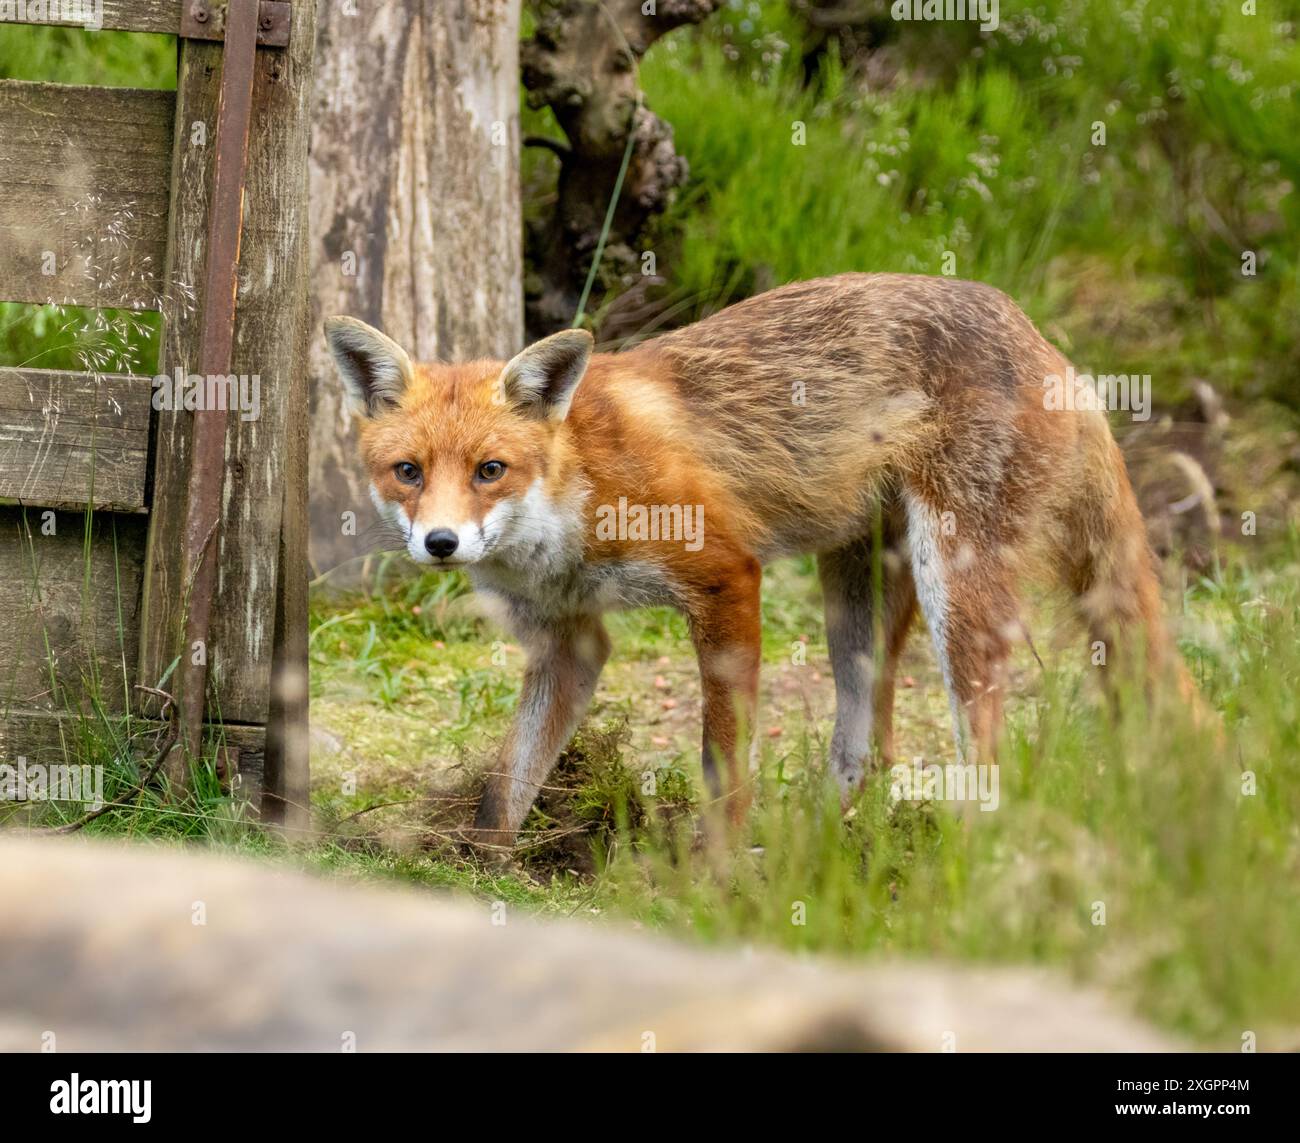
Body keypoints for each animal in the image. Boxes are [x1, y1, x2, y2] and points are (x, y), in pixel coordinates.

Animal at [327, 274, 1196, 847]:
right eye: (408, 472)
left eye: (489, 470)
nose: (442, 543)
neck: (575, 488)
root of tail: (1043, 338)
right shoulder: (569, 639)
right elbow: (508, 777)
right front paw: (485, 862)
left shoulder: (723, 575)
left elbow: (721, 760)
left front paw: (715, 867)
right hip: (858, 595)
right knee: (867, 745)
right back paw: (823, 847)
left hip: (954, 582)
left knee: (984, 743)